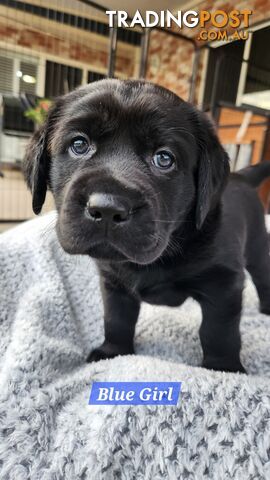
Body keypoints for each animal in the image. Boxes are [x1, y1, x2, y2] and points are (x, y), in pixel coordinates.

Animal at [23, 79, 270, 374]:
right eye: (79, 144)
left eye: (164, 158)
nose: (108, 208)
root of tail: (243, 177)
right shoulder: (114, 282)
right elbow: (116, 319)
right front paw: (113, 351)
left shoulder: (224, 282)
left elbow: (219, 331)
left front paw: (223, 368)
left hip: (258, 251)